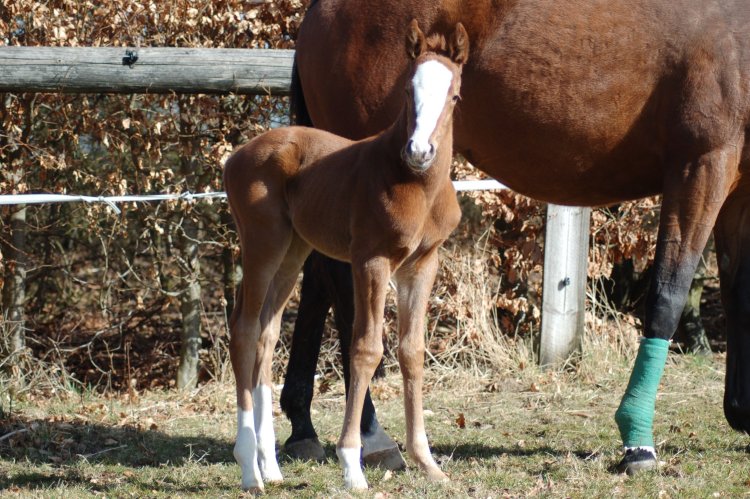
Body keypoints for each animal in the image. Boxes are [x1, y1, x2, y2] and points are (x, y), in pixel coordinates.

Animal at [223, 21, 470, 490]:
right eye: (407, 91)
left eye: (454, 96)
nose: (419, 152)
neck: (415, 186)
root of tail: (237, 156)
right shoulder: (370, 260)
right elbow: (366, 349)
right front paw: (353, 464)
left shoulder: (421, 265)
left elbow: (411, 350)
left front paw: (426, 461)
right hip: (263, 242)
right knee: (244, 329)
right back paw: (249, 470)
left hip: (293, 251)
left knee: (266, 332)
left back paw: (271, 467)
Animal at [286, 0, 750, 476]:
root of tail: (321, 11)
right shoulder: (702, 165)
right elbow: (668, 294)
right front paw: (638, 442)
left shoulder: (739, 185)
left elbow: (739, 292)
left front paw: (742, 413)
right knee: (345, 295)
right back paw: (372, 435)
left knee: (318, 279)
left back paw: (303, 429)